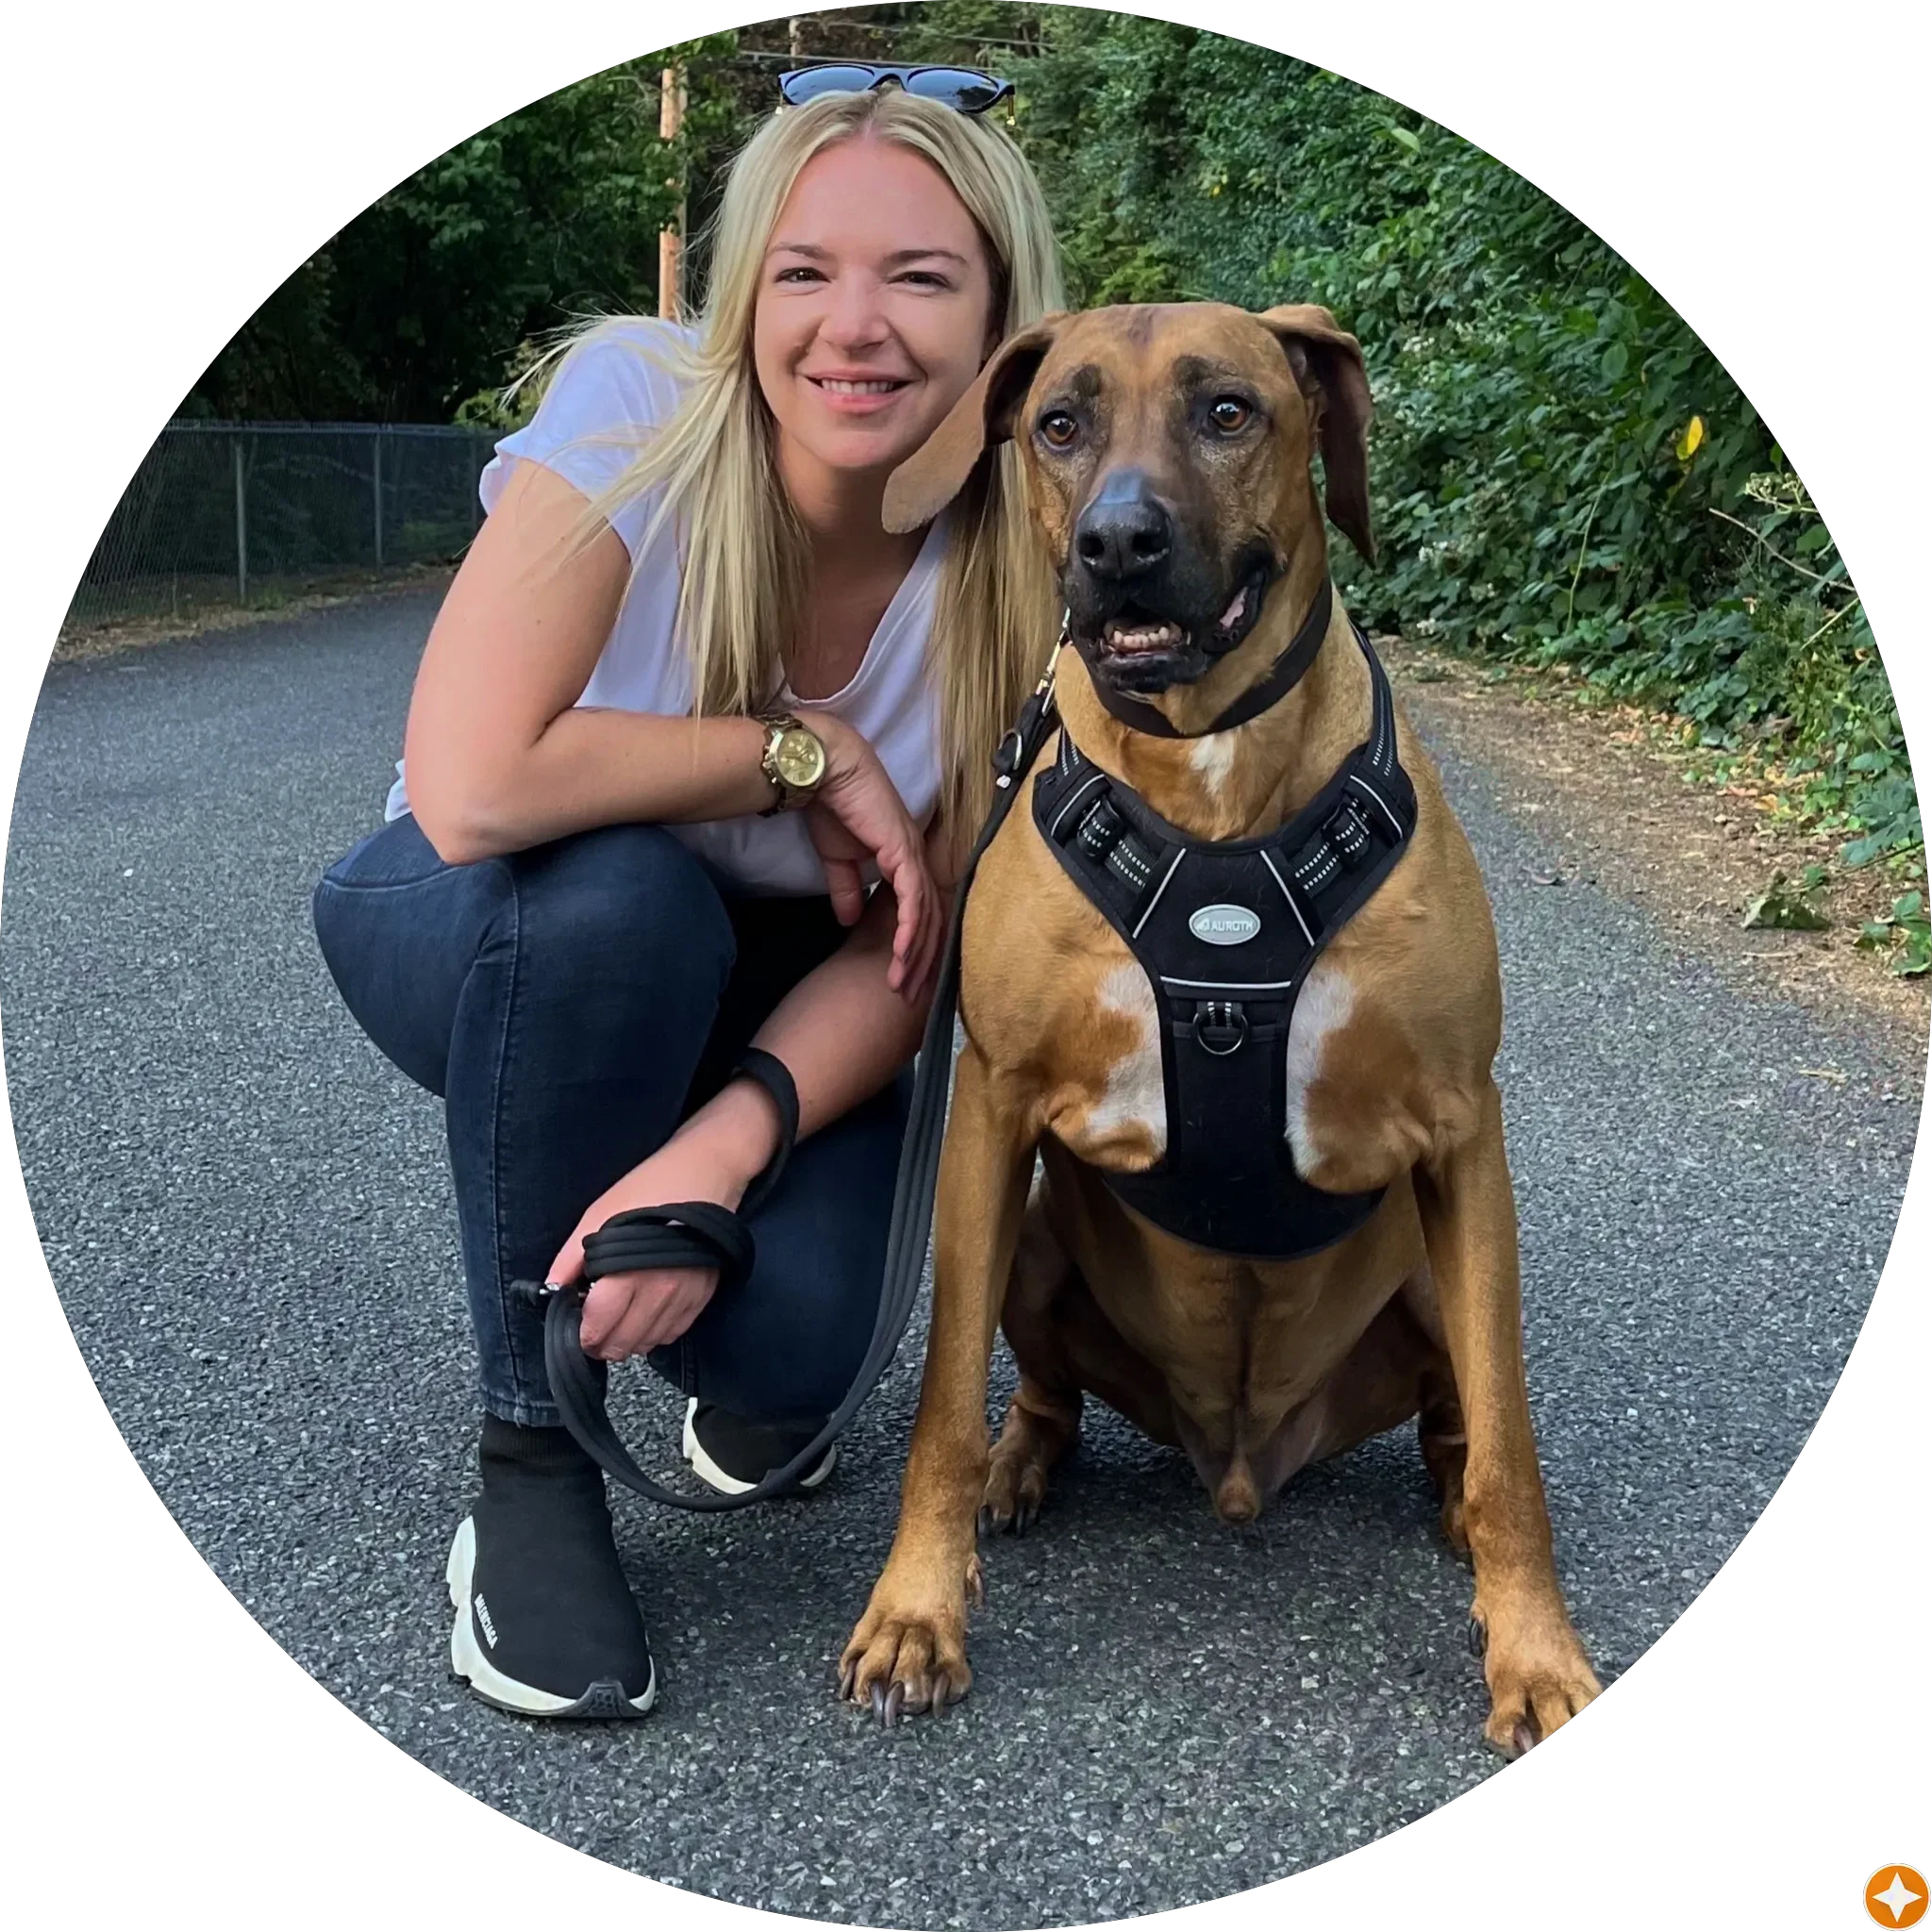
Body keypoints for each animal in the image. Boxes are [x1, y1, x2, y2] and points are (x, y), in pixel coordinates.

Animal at [838, 301, 1603, 1756]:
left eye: (1228, 412)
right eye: (1059, 423)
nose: (1117, 544)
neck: (1211, 787)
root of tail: (1244, 1460)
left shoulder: (1461, 1134)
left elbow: (1516, 1448)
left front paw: (1533, 1650)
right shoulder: (992, 1112)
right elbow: (942, 1406)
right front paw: (917, 1609)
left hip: (1435, 1266)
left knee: (1457, 1419)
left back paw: (1448, 1502)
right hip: (1031, 1238)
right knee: (1039, 1392)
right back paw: (1021, 1466)